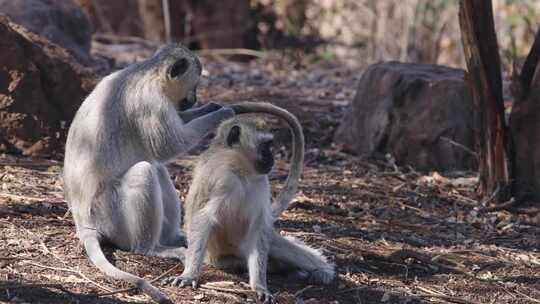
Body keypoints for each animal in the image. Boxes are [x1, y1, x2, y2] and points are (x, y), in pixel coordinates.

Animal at [62, 43, 234, 304]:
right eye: (194, 85)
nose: (195, 99)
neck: (147, 73)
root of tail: (84, 223)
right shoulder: (151, 104)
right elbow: (169, 146)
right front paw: (221, 113)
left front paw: (210, 107)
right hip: (108, 216)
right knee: (145, 171)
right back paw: (154, 249)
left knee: (158, 170)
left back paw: (174, 238)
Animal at [162, 103, 336, 302]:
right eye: (265, 146)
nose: (272, 159)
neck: (240, 170)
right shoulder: (221, 177)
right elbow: (203, 219)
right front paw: (189, 275)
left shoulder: (260, 180)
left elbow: (259, 225)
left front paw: (259, 286)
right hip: (225, 258)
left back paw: (319, 269)